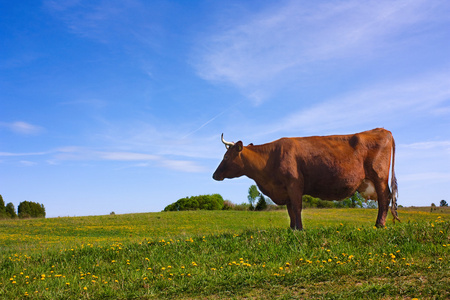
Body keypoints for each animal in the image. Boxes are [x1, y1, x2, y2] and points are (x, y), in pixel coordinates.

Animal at [213, 127, 400, 230]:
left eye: (226, 157)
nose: (214, 175)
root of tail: (383, 130)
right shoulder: (286, 190)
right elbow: (290, 211)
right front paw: (292, 229)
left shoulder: (294, 184)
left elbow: (296, 208)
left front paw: (300, 230)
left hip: (379, 178)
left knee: (384, 199)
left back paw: (379, 225)